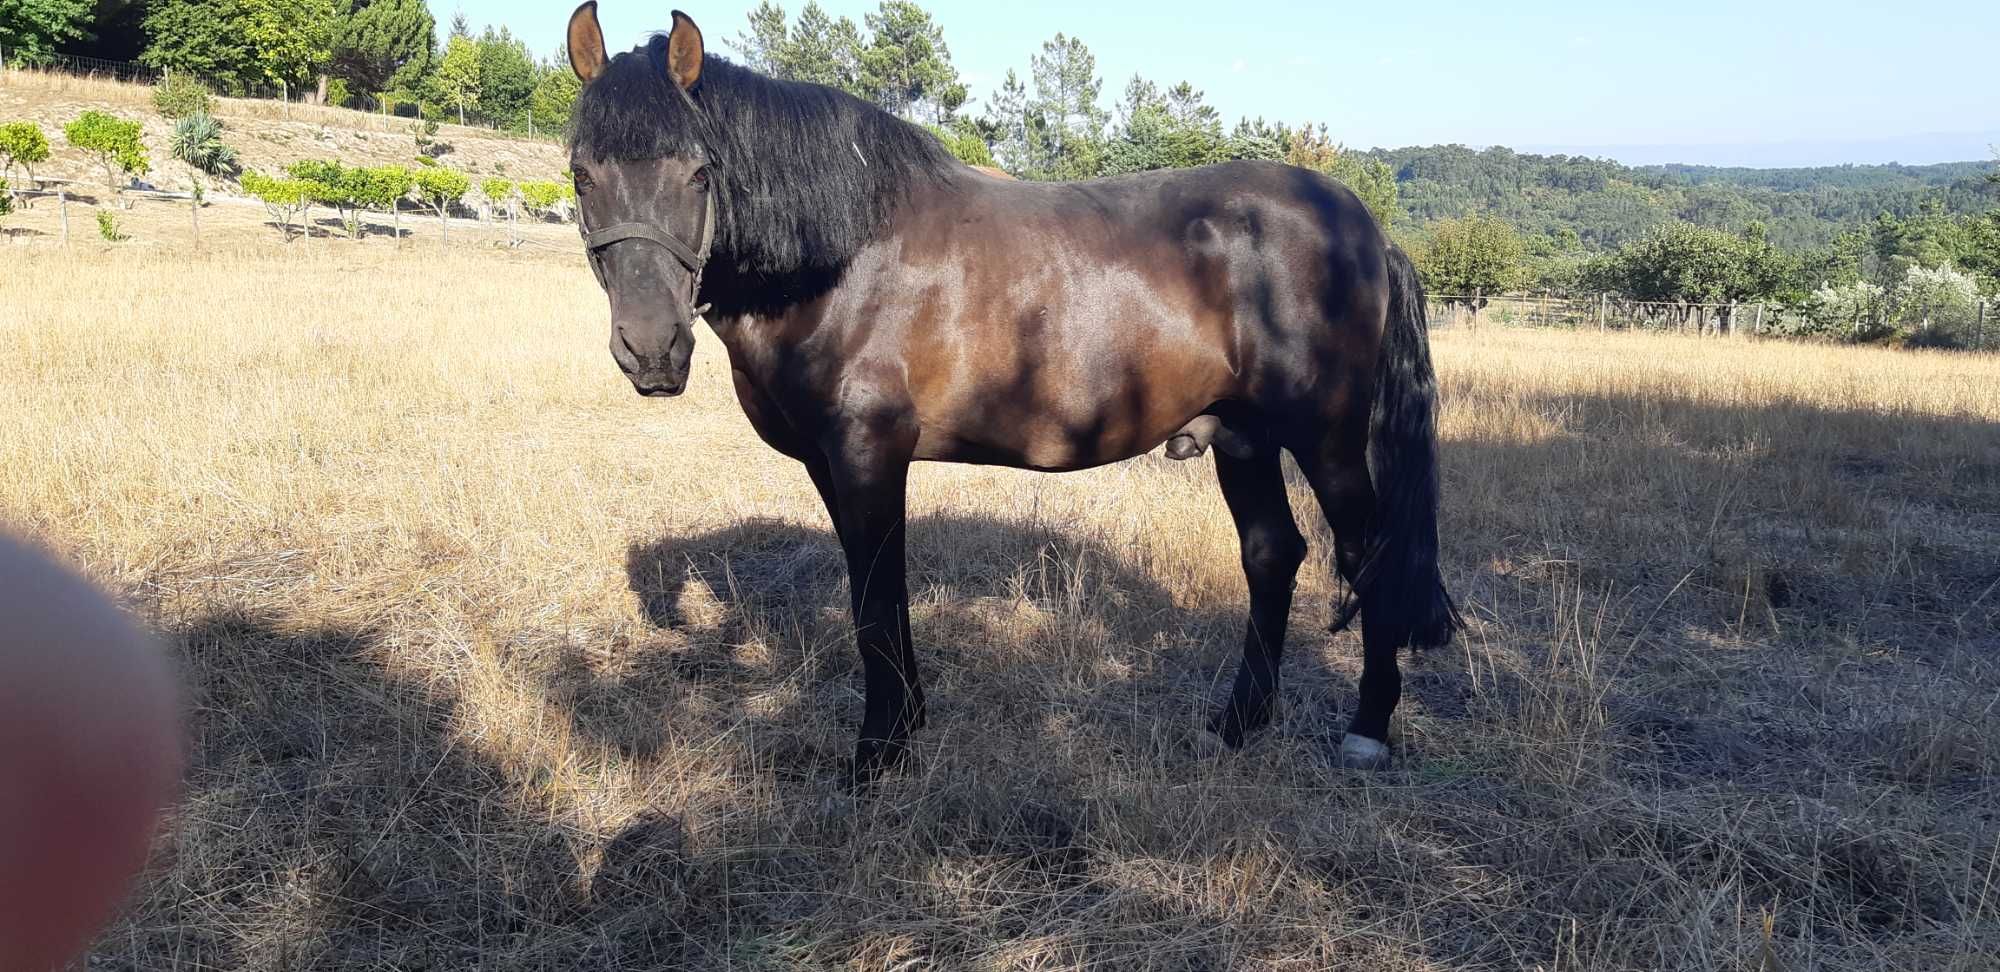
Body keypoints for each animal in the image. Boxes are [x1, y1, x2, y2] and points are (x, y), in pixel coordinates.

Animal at [568, 5, 1472, 784]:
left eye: (698, 173)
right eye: (581, 176)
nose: (650, 349)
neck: (845, 256)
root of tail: (1366, 228)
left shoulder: (867, 454)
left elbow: (875, 593)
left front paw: (878, 751)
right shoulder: (831, 465)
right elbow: (876, 589)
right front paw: (909, 722)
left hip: (1327, 441)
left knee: (1368, 557)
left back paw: (1366, 730)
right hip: (1243, 437)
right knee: (1272, 555)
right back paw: (1239, 722)